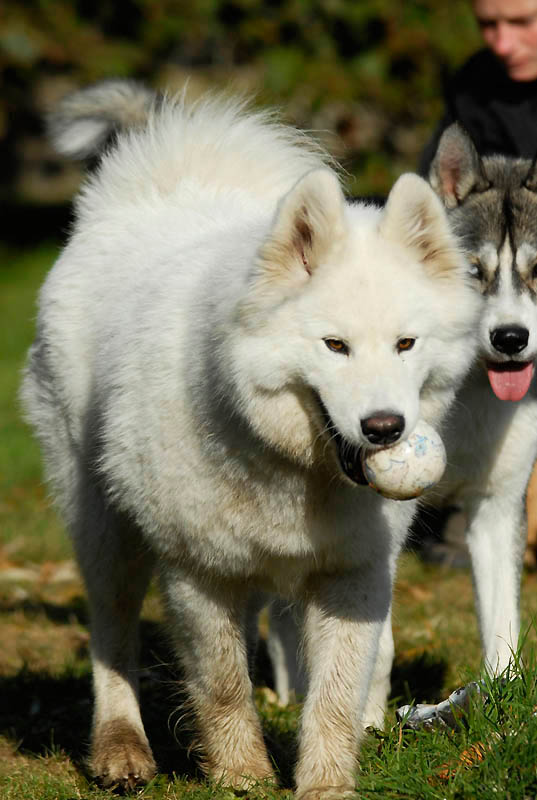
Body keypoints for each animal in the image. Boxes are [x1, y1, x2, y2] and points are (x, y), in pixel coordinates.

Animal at [22, 83, 478, 800]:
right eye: (335, 346)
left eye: (406, 344)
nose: (385, 427)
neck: (291, 469)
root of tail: (147, 189)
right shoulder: (196, 570)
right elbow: (222, 680)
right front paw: (242, 776)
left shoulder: (352, 573)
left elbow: (334, 695)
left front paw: (325, 783)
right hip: (104, 529)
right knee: (113, 637)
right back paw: (121, 749)